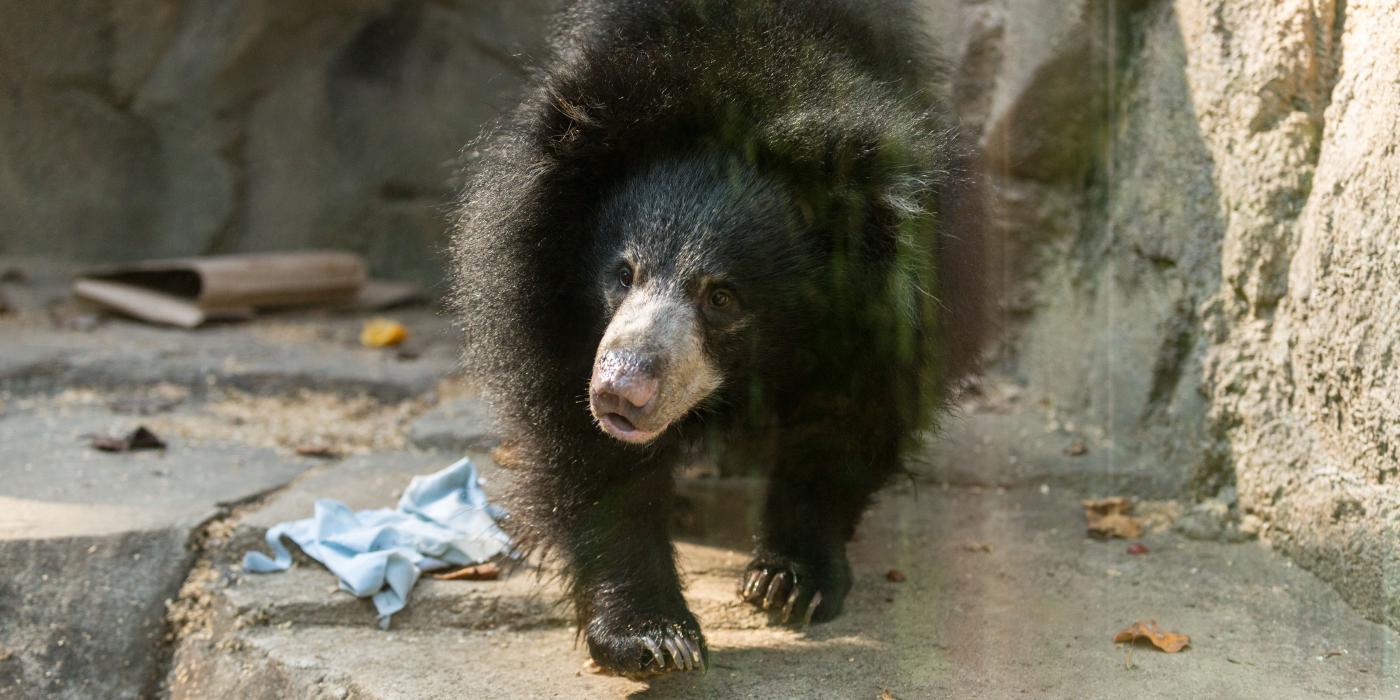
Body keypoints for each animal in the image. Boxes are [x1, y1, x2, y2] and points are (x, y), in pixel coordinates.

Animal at [453, 0, 991, 674]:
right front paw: (652, 636)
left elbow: (850, 421)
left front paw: (791, 582)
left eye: (722, 298)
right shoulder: (544, 287)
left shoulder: (898, 306)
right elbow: (585, 448)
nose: (621, 391)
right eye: (622, 274)